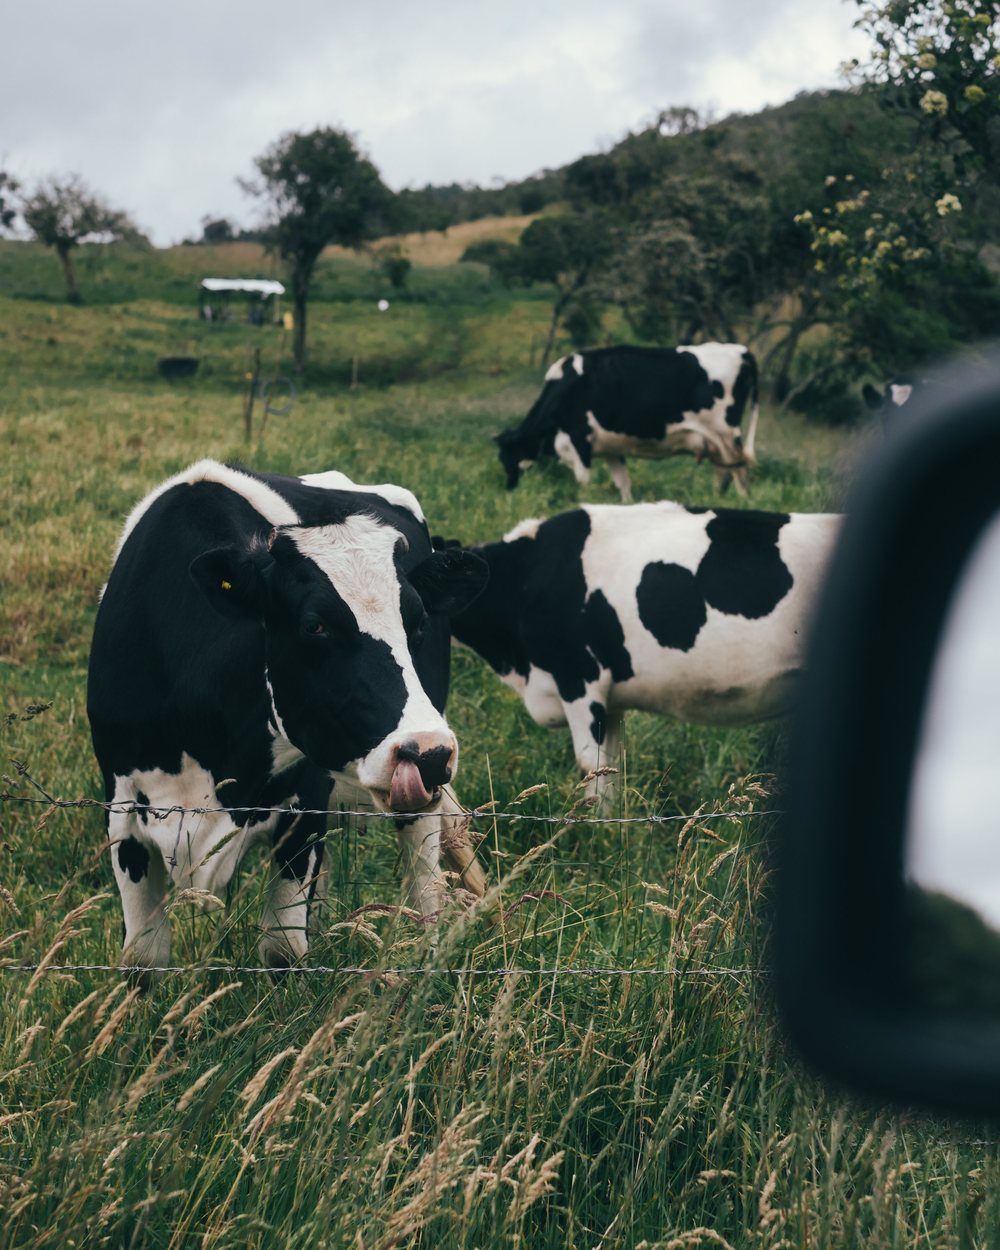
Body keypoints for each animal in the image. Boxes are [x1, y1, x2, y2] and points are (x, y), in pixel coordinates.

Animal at [87, 460, 489, 981]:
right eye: (315, 625)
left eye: (418, 623)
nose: (428, 753)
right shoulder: (123, 811)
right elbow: (142, 960)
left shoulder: (304, 807)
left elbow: (282, 952)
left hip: (415, 794)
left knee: (424, 874)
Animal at [495, 343, 759, 503]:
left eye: (506, 458)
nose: (509, 490)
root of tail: (740, 350)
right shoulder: (611, 448)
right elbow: (622, 483)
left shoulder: (578, 439)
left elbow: (584, 481)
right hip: (717, 442)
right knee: (723, 472)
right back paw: (716, 500)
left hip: (727, 435)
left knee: (739, 471)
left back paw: (743, 502)